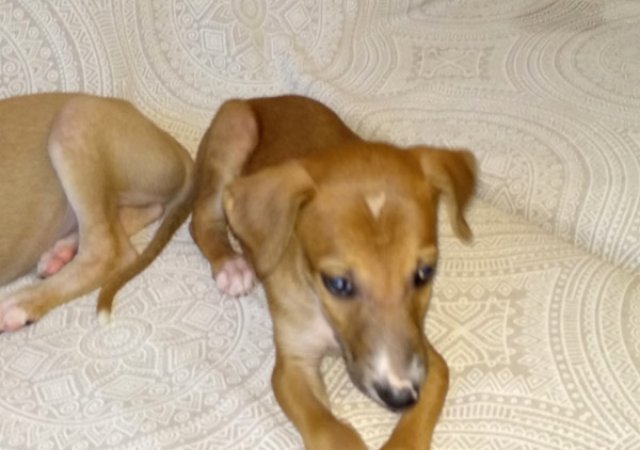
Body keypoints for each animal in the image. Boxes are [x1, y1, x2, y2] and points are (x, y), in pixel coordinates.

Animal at [191, 95, 476, 450]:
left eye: (425, 272)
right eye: (338, 284)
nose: (399, 397)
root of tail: (263, 99)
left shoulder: (428, 361)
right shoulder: (293, 365)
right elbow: (329, 428)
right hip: (235, 128)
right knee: (201, 219)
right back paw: (231, 265)